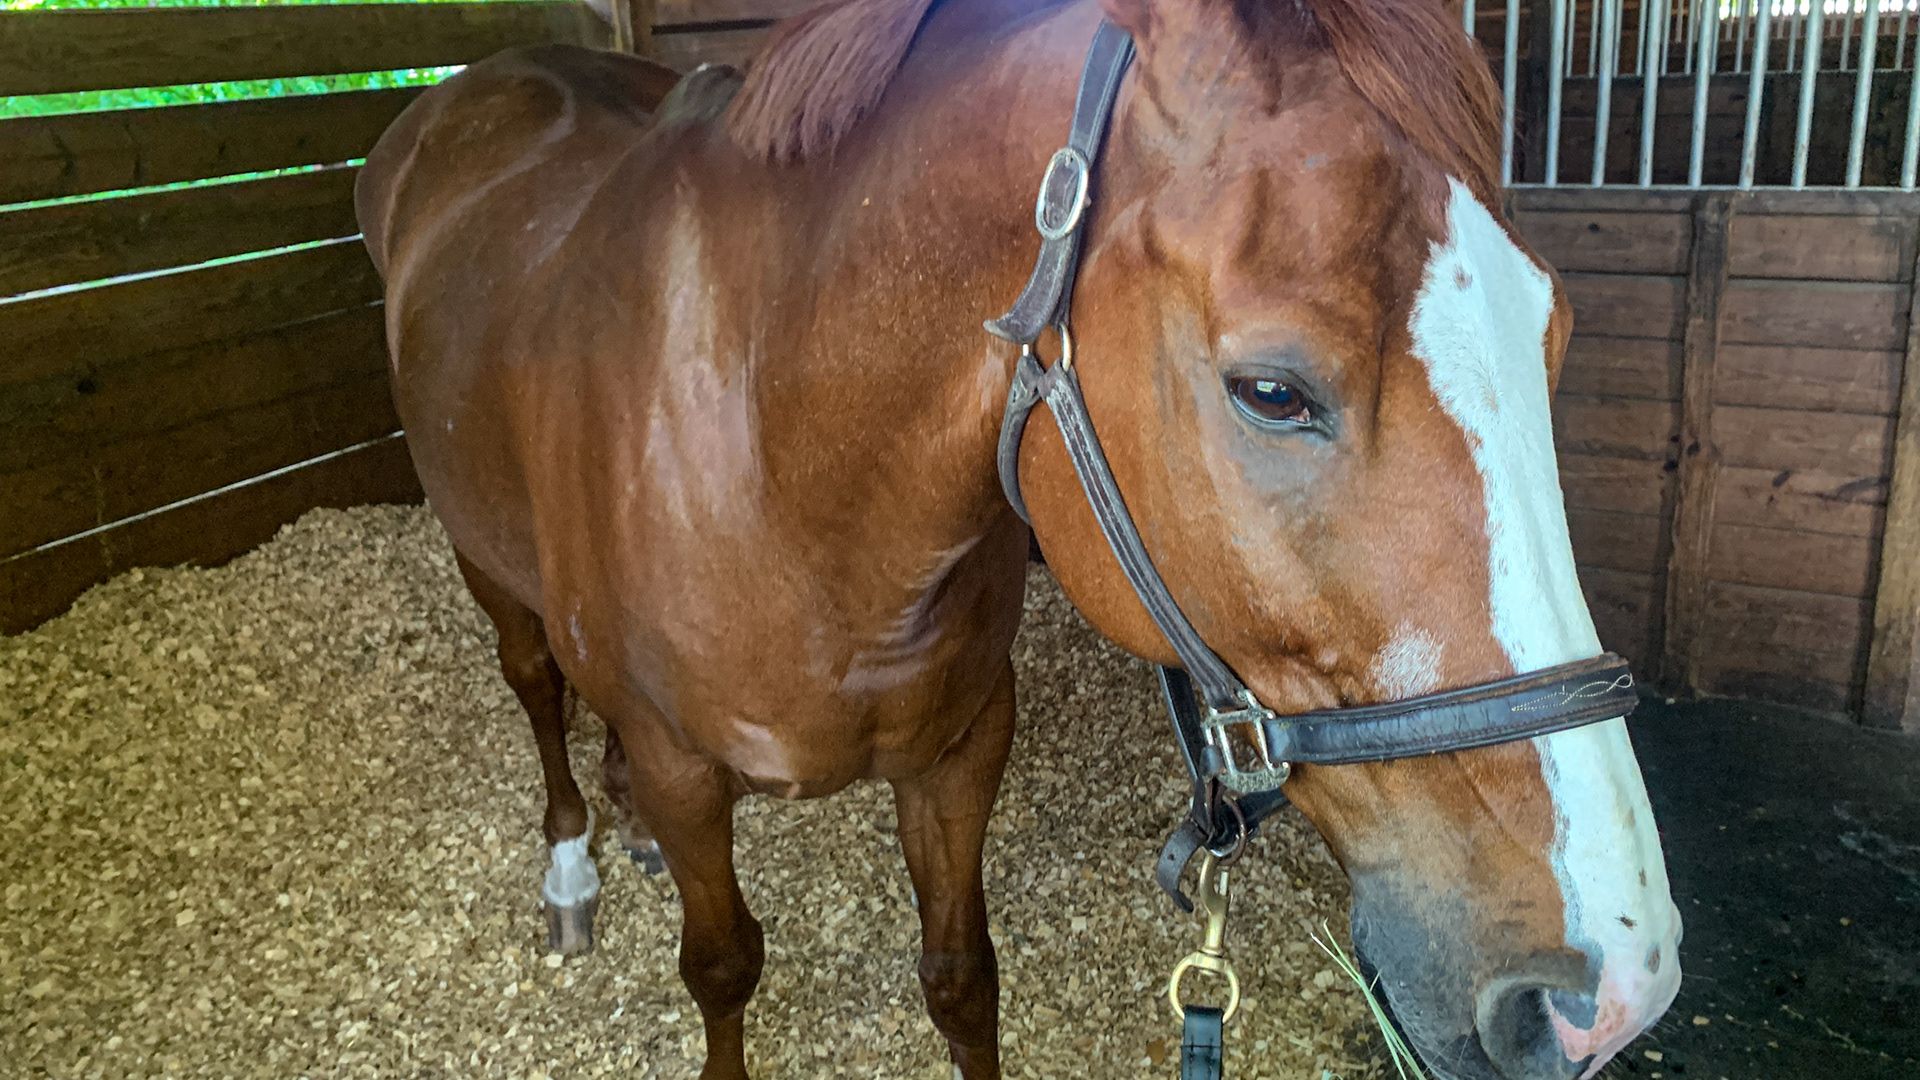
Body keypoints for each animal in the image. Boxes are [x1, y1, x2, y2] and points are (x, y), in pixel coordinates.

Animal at [355, 0, 1683, 1077]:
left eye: (1555, 333)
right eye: (1272, 392)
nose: (1614, 992)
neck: (776, 460)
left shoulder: (957, 752)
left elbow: (961, 979)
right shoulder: (690, 769)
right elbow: (721, 967)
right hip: (488, 568)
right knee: (540, 689)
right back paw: (573, 867)